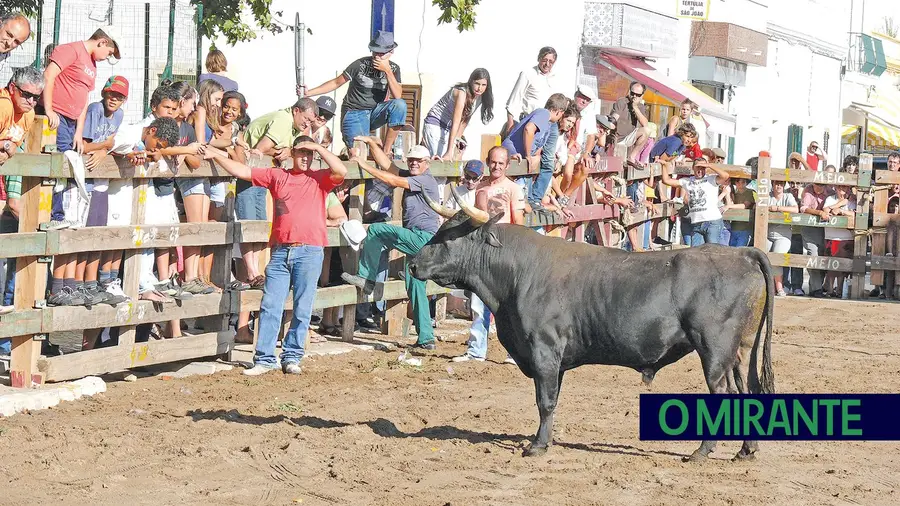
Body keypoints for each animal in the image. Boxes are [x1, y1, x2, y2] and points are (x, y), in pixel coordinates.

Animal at [408, 211, 772, 460]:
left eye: (448, 238)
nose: (412, 265)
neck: (518, 274)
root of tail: (742, 253)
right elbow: (550, 402)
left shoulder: (544, 351)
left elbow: (545, 401)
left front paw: (536, 446)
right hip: (738, 352)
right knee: (747, 393)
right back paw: (746, 450)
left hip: (714, 349)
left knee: (721, 394)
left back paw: (701, 452)